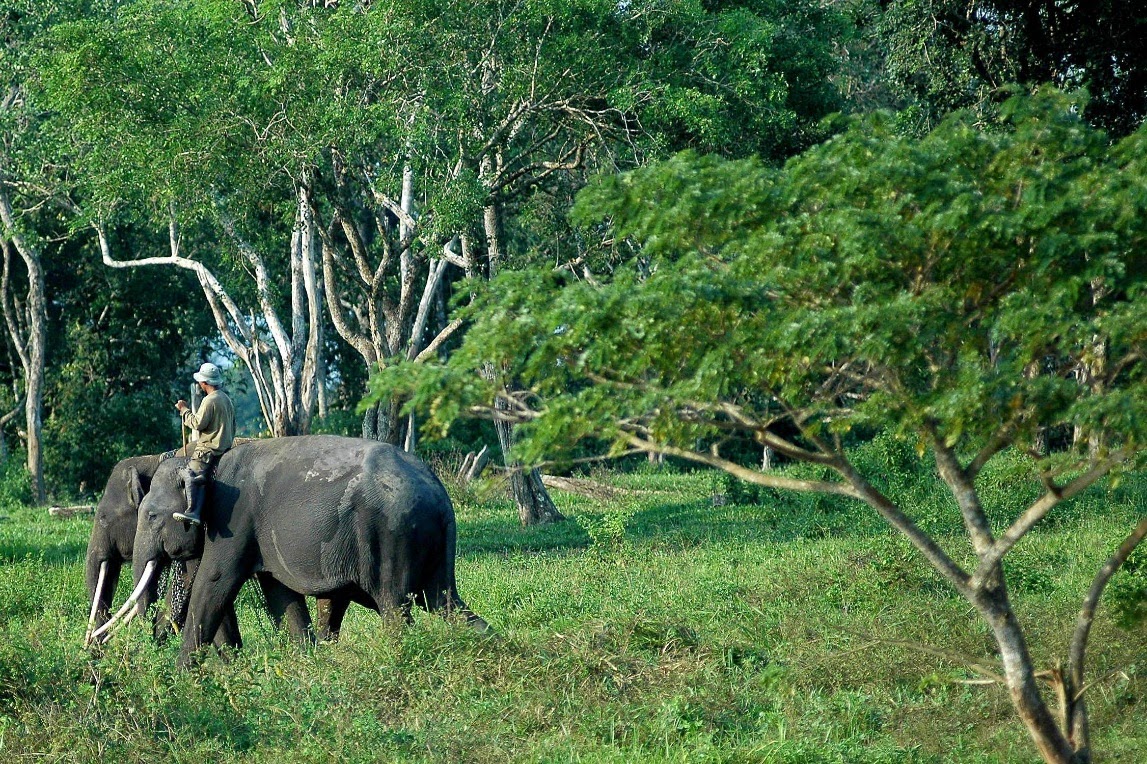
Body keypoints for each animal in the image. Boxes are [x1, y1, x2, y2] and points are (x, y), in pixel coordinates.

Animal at [130, 431, 488, 665]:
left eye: (151, 515)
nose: (146, 649)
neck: (204, 464)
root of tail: (440, 496)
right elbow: (279, 592)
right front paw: (307, 662)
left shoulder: (233, 518)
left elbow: (214, 581)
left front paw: (182, 678)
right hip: (427, 545)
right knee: (444, 601)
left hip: (392, 536)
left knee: (395, 608)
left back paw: (400, 661)